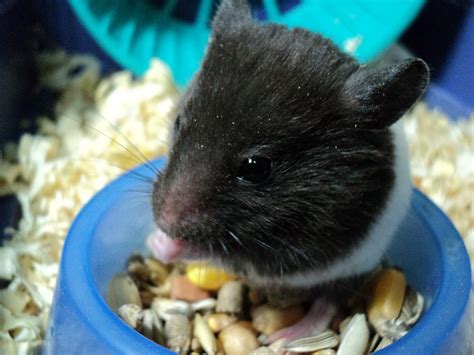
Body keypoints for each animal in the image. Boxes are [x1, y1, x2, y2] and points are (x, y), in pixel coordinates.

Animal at [149, 0, 430, 300]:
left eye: (256, 167)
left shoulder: (292, 252)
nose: (165, 222)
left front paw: (163, 244)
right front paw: (156, 238)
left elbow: (217, 251)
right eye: (178, 122)